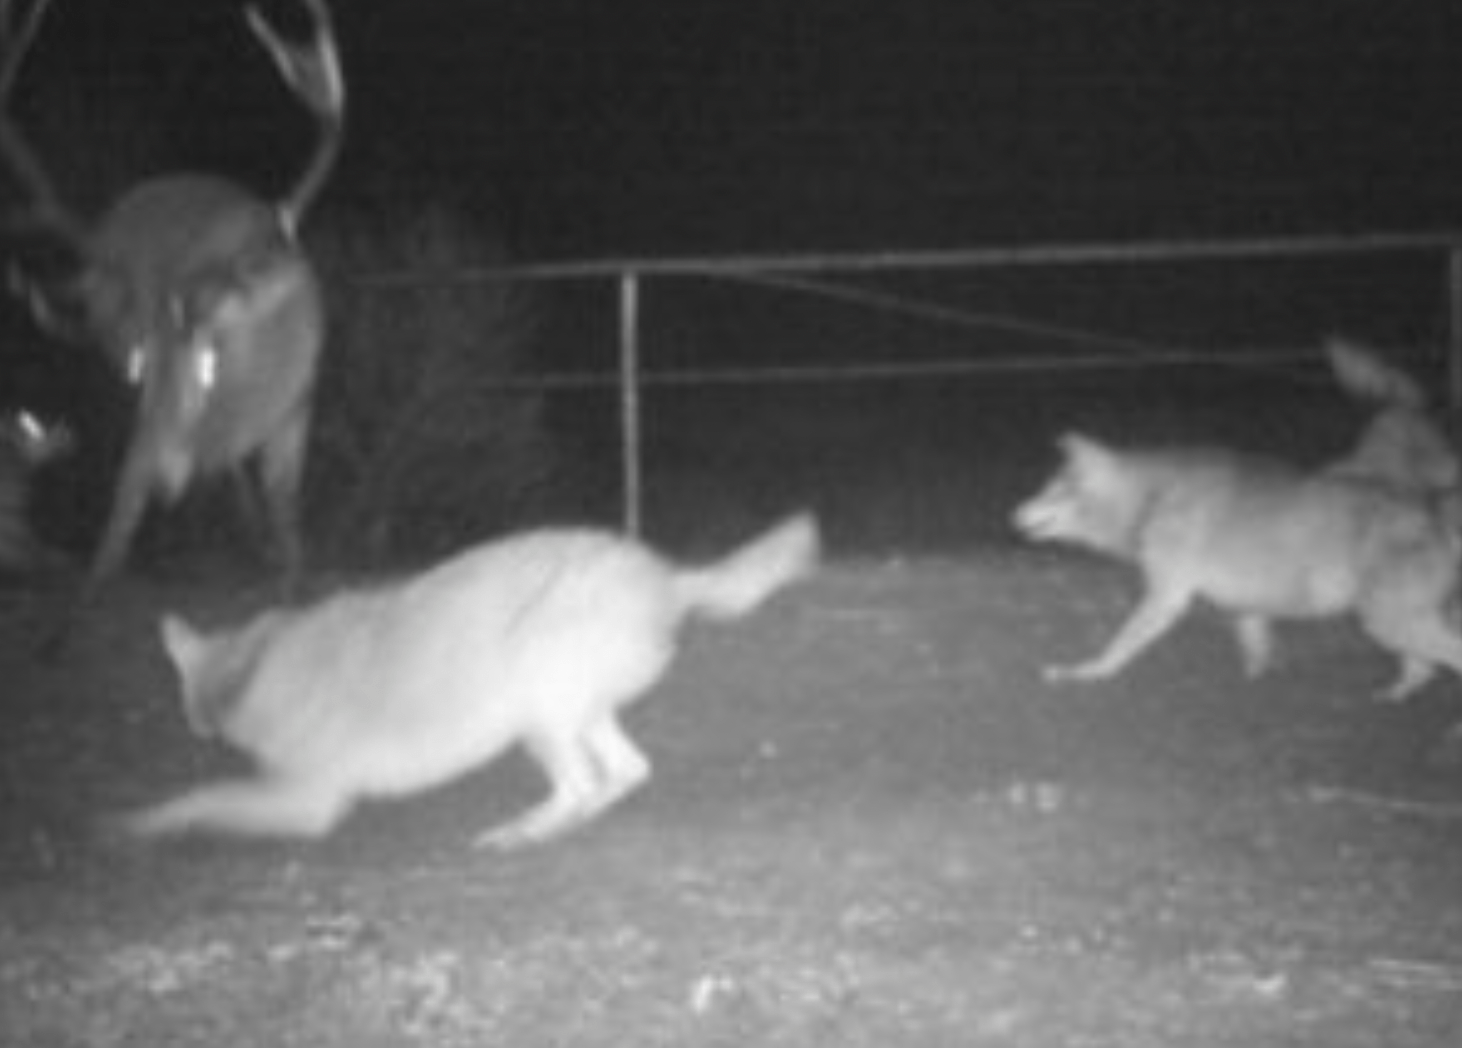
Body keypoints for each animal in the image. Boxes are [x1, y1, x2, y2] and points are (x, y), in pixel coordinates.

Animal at [0, 0, 345, 637]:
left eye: (208, 350)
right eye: (138, 362)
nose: (158, 477)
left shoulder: (296, 407)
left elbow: (286, 528)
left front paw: (287, 582)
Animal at [118, 511, 818, 847]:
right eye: (184, 695)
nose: (196, 726)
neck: (268, 660)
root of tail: (669, 578)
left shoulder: (308, 801)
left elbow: (203, 799)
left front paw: (144, 824)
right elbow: (209, 796)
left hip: (536, 710)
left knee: (583, 785)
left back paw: (522, 833)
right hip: (571, 717)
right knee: (620, 776)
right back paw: (558, 827)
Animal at [1011, 432, 1462, 695]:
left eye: (1053, 491)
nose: (1013, 515)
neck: (1153, 498)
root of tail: (1432, 508)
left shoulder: (1167, 596)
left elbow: (1118, 645)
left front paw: (1087, 673)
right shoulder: (1244, 606)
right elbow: (1256, 648)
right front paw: (1254, 682)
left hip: (1387, 622)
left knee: (1439, 662)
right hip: (1391, 625)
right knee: (1422, 671)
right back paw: (1390, 698)